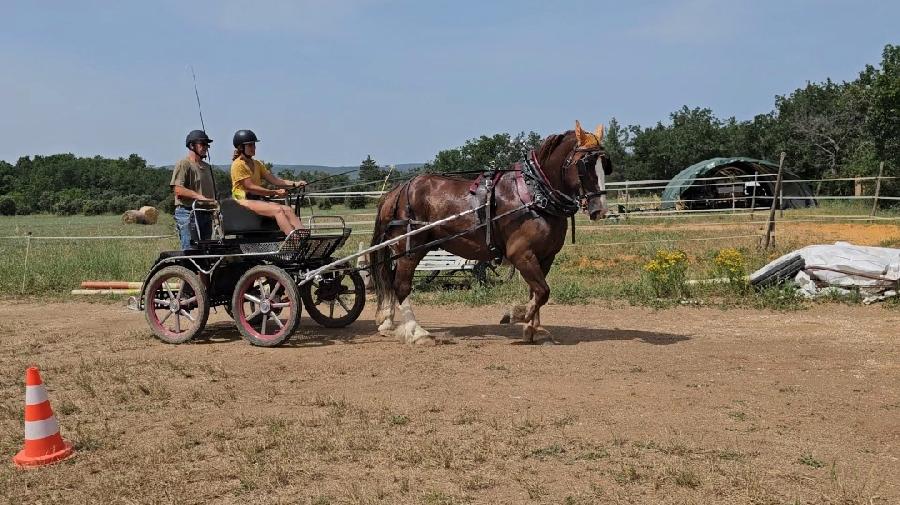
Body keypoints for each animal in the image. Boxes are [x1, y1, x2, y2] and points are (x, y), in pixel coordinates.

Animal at [368, 120, 612, 344]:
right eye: (585, 165)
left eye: (605, 165)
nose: (600, 209)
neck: (535, 196)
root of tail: (398, 189)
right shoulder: (521, 254)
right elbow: (543, 291)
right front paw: (516, 315)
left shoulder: (545, 257)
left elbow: (536, 292)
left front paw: (533, 329)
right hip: (411, 248)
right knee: (401, 285)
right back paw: (417, 332)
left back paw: (388, 321)